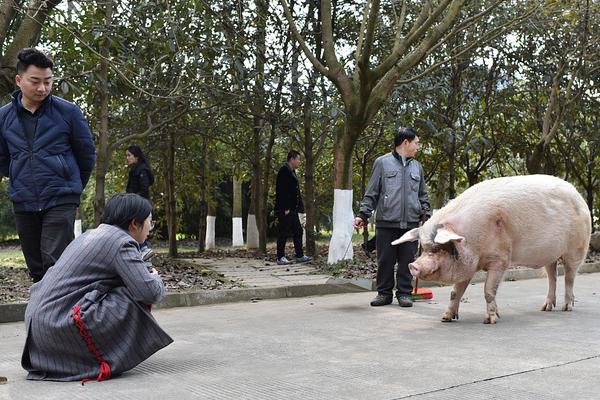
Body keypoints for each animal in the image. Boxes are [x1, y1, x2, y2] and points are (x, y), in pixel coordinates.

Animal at [394, 175, 592, 324]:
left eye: (438, 248)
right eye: (424, 248)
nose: (413, 265)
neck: (471, 240)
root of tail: (578, 194)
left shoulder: (501, 259)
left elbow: (489, 290)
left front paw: (490, 320)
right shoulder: (468, 264)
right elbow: (455, 292)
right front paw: (445, 318)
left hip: (577, 248)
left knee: (569, 277)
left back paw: (567, 308)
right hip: (550, 255)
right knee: (552, 276)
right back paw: (545, 308)